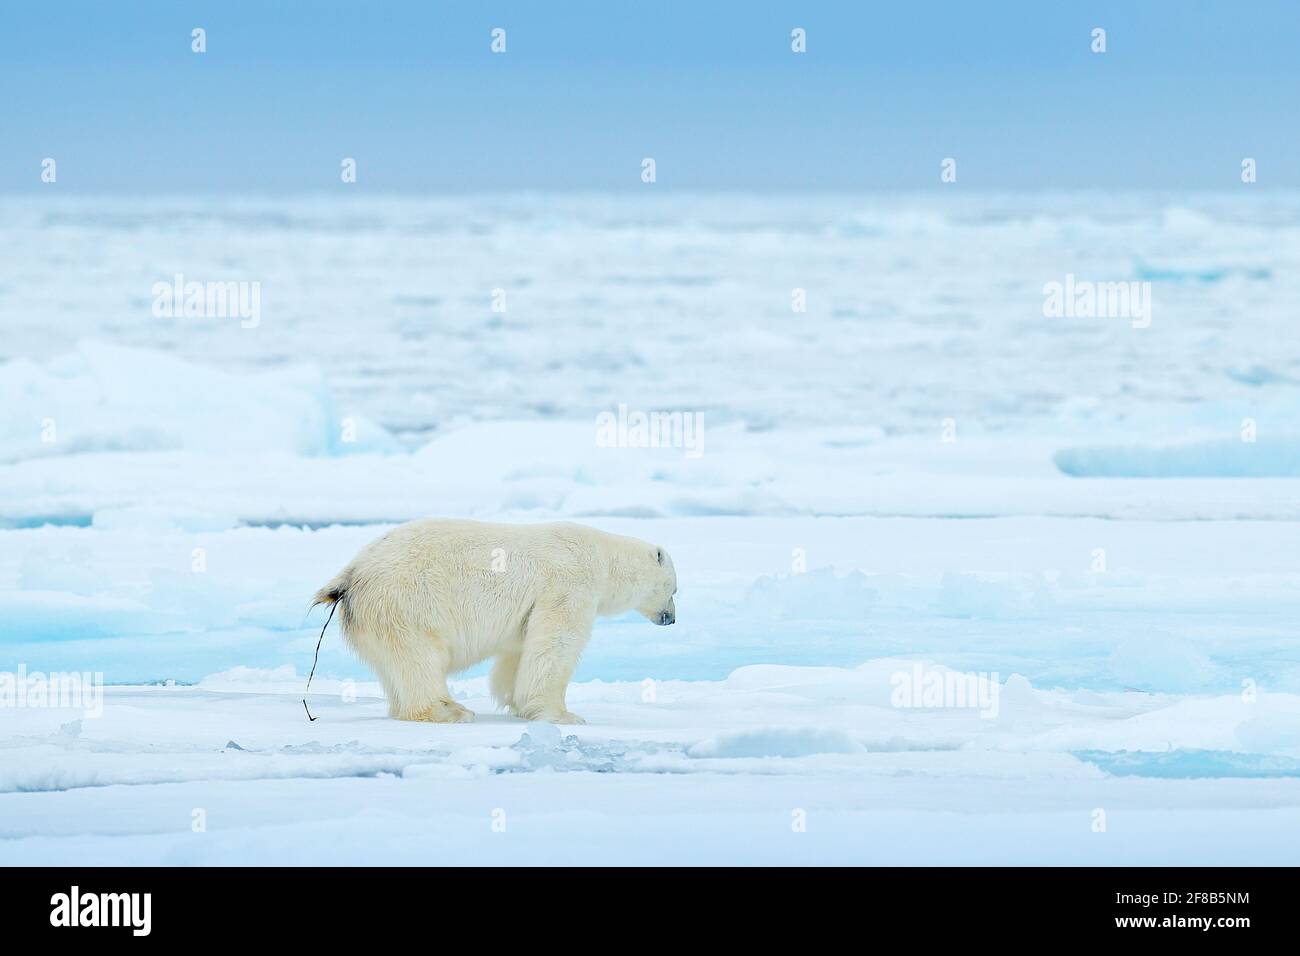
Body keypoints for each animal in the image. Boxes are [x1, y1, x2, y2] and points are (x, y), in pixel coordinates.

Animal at [312, 518, 677, 724]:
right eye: (674, 588)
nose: (671, 618)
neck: (602, 558)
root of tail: (353, 573)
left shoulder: (531, 608)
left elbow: (520, 650)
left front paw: (518, 701)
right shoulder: (568, 584)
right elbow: (556, 645)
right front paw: (565, 715)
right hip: (408, 601)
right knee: (420, 658)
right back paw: (450, 711)